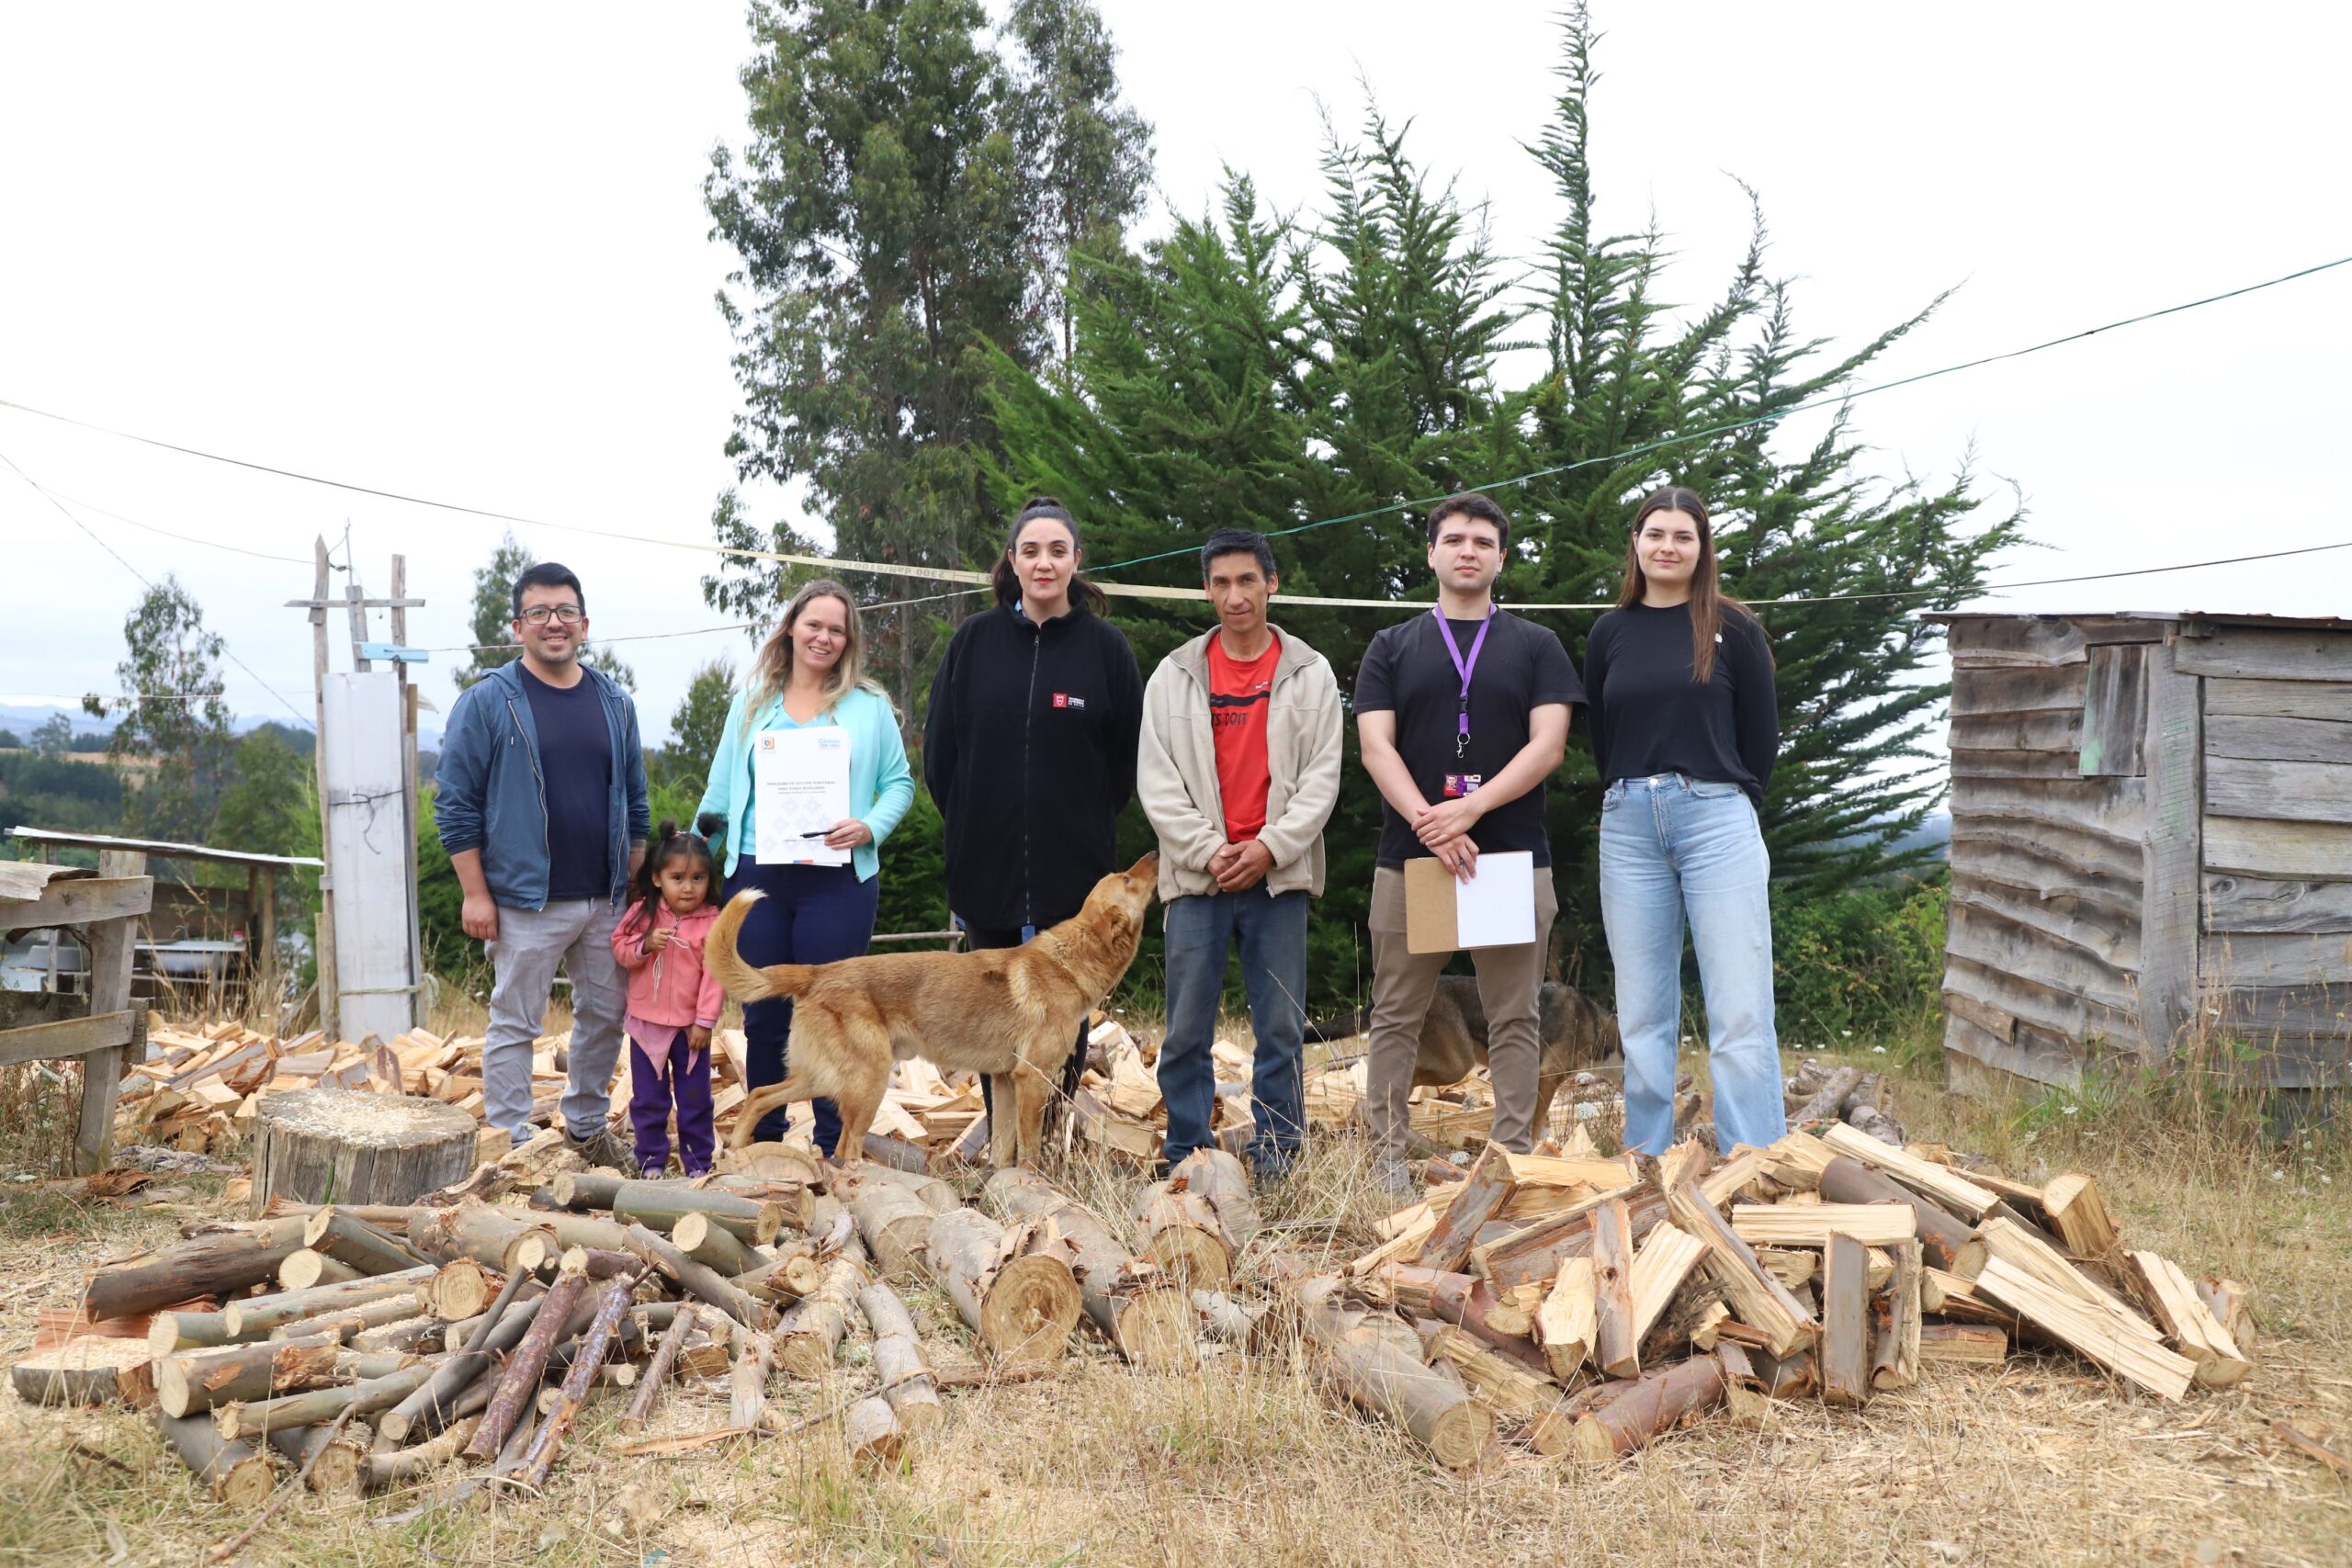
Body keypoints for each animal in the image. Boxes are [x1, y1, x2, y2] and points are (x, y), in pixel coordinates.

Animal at [710, 851, 1161, 1170]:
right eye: (1126, 879)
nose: (1157, 852)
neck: (1069, 962)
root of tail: (817, 972)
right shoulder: (1032, 1080)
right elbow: (1030, 1151)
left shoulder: (1004, 1081)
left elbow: (1003, 1149)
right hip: (868, 1082)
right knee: (844, 1145)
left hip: (822, 1077)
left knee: (760, 1096)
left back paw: (733, 1155)